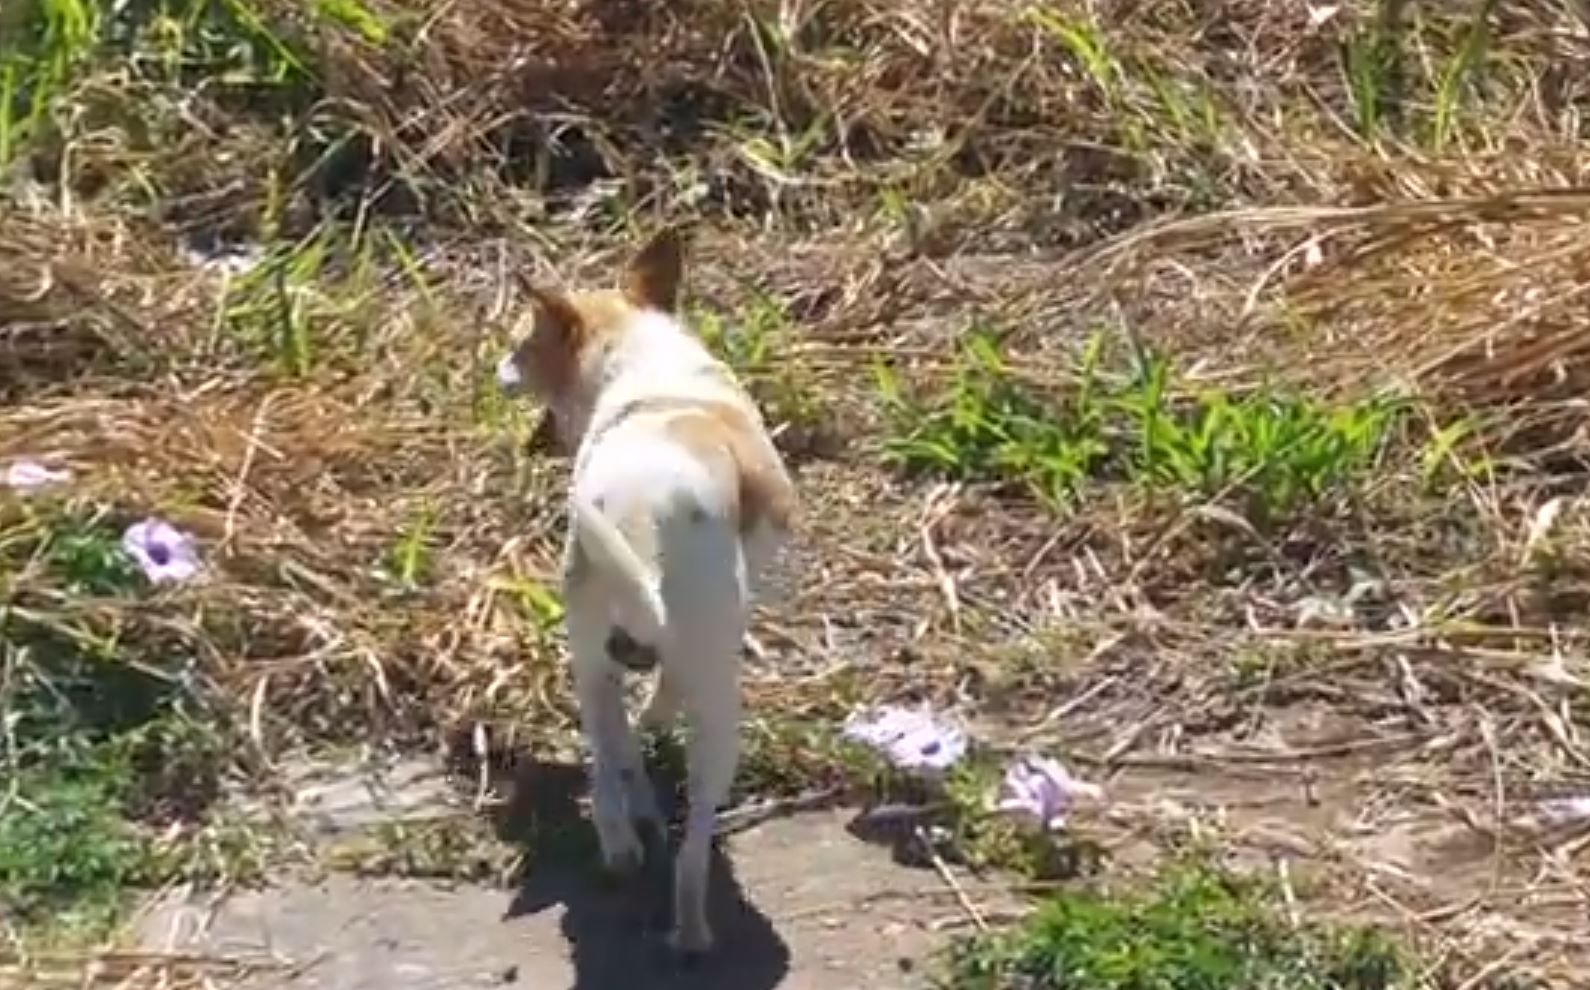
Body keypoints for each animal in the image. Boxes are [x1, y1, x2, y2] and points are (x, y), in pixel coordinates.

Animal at [492, 228, 795, 959]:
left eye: (520, 346)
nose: (493, 368)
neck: (638, 357)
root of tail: (643, 512)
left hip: (600, 654)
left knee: (613, 764)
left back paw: (643, 860)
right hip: (681, 680)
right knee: (644, 790)